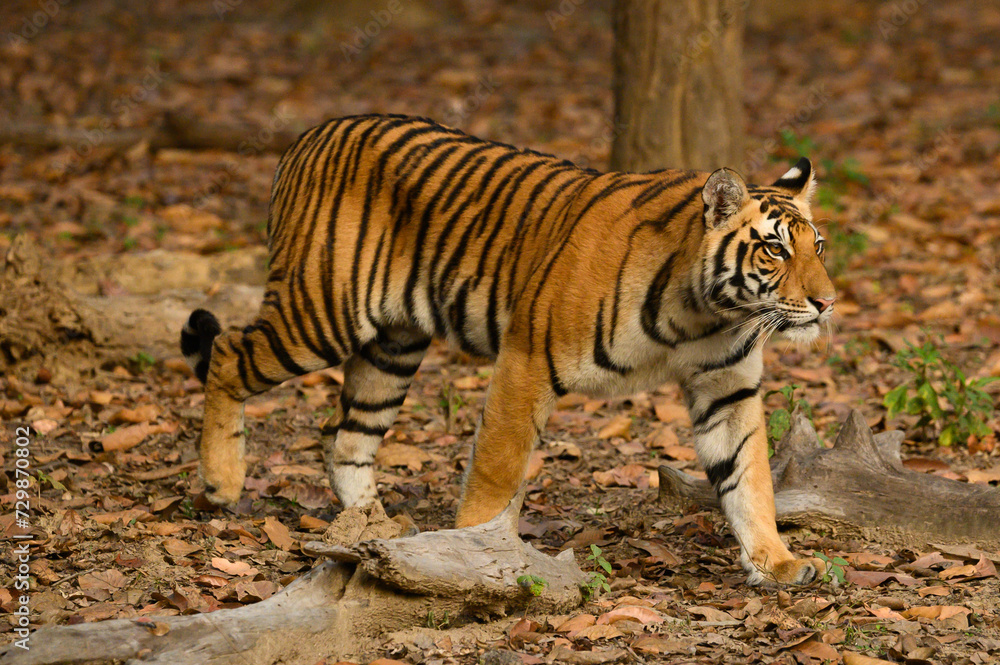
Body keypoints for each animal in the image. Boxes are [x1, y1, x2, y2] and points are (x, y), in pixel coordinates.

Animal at [180, 115, 836, 588]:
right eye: (775, 250)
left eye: (819, 245)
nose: (828, 303)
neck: (705, 314)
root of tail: (309, 134)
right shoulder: (528, 360)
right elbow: (496, 474)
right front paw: (465, 556)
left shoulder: (727, 386)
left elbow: (749, 479)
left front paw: (778, 563)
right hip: (322, 312)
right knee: (228, 351)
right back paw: (221, 482)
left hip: (393, 345)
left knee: (347, 436)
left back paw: (372, 527)